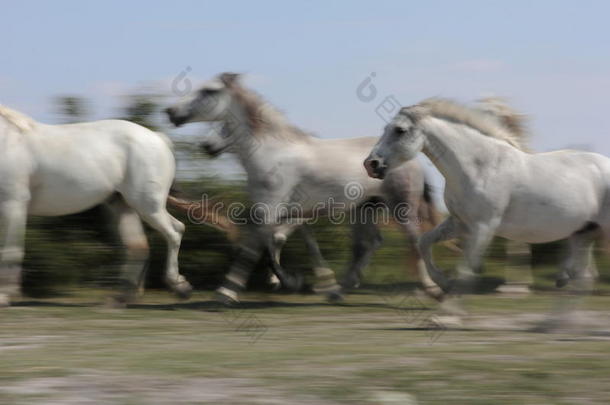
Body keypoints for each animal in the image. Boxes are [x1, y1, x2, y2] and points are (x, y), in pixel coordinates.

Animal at [0, 105, 192, 304]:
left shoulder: (13, 203)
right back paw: (122, 297)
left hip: (148, 205)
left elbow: (10, 250)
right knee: (138, 245)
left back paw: (179, 287)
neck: (6, 139)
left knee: (174, 231)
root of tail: (158, 137)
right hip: (123, 205)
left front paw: (4, 296)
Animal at [166, 72, 442, 304]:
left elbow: (255, 247)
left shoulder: (271, 210)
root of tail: (413, 158)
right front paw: (292, 281)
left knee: (414, 240)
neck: (271, 153)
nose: (171, 112)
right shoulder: (285, 213)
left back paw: (431, 289)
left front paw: (228, 293)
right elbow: (279, 242)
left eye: (208, 91)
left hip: (401, 206)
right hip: (366, 208)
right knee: (368, 244)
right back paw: (340, 290)